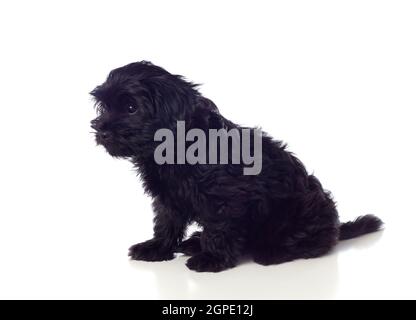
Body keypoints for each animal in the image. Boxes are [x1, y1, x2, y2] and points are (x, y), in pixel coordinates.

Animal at [89, 60, 382, 272]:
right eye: (104, 107)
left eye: (130, 107)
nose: (100, 129)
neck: (175, 149)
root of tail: (334, 226)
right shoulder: (168, 199)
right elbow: (165, 224)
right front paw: (156, 248)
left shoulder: (226, 198)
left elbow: (220, 229)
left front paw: (212, 259)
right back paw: (195, 242)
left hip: (299, 213)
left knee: (312, 242)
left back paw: (271, 252)